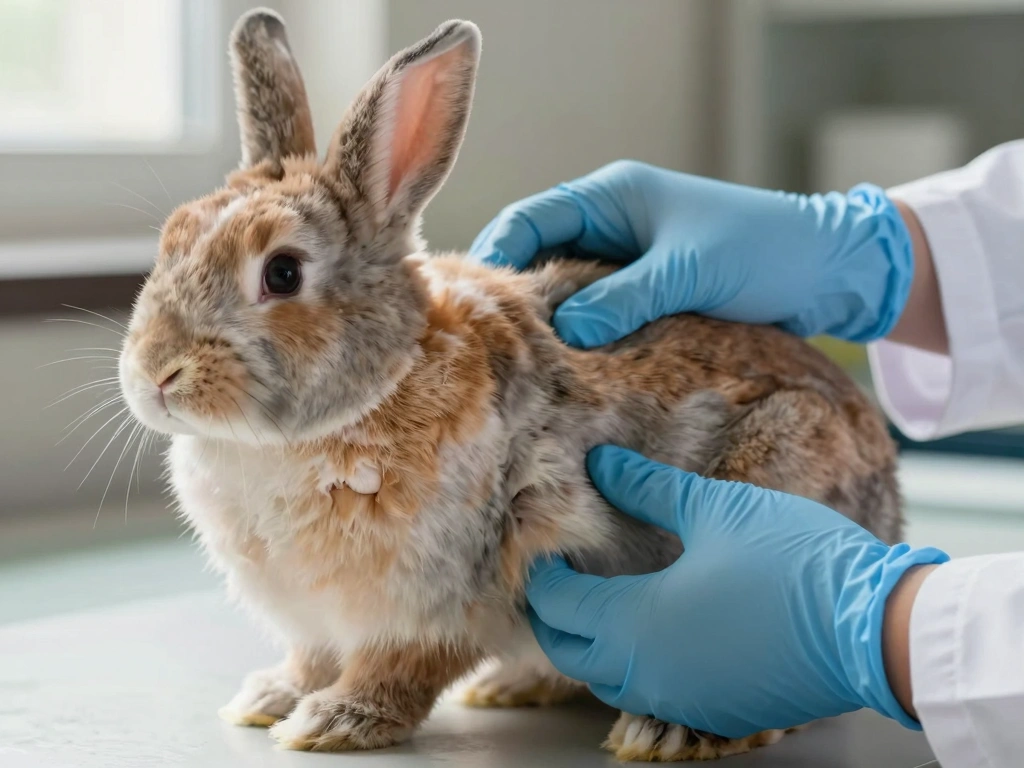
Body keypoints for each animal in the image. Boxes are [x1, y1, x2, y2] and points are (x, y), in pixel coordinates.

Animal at [116, 8, 902, 761]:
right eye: (171, 240)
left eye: (282, 273)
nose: (157, 372)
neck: (381, 385)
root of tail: (890, 519)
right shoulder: (315, 619)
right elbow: (310, 658)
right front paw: (271, 697)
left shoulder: (441, 594)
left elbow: (400, 668)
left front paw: (335, 721)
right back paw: (513, 685)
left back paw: (671, 732)